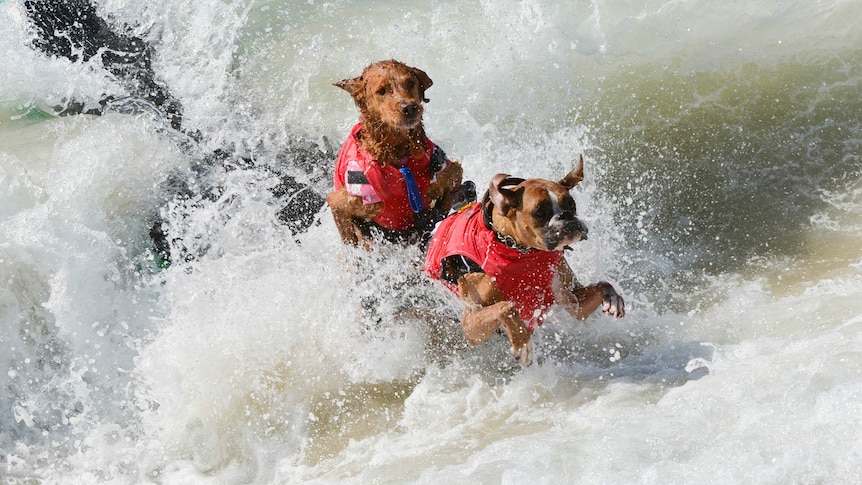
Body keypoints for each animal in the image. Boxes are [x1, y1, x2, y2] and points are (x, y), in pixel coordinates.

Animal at [426, 157, 624, 364]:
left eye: (572, 204)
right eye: (539, 212)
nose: (566, 217)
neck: (517, 250)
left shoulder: (574, 302)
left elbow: (602, 285)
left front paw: (612, 299)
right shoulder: (470, 323)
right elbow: (506, 307)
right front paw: (522, 342)